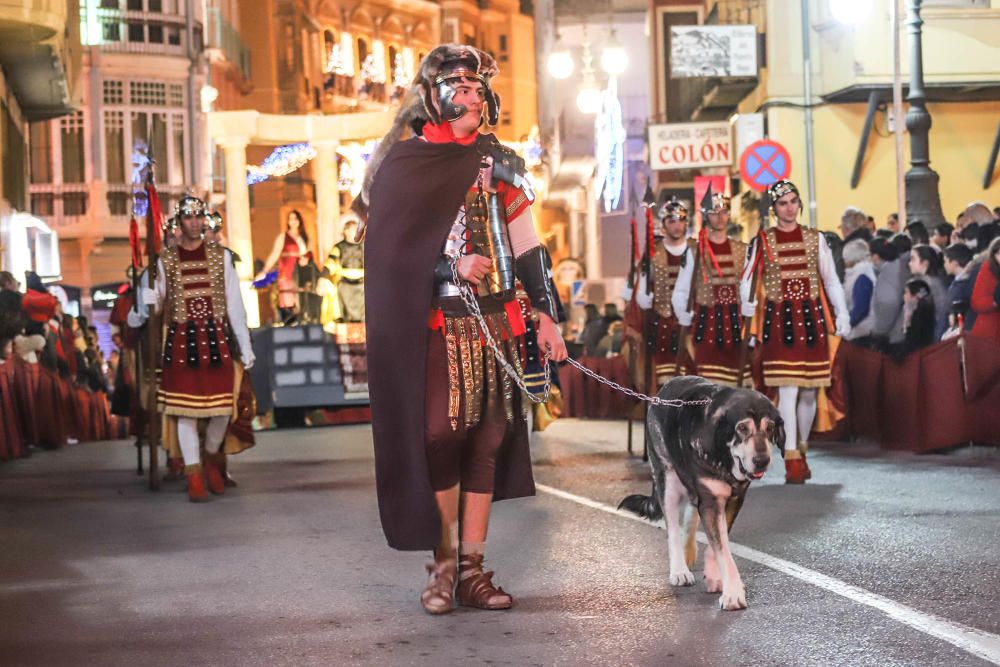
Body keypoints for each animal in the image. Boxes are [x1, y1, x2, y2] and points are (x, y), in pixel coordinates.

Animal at [620, 376, 784, 612]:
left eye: (770, 428)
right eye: (742, 428)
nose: (762, 460)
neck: (725, 456)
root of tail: (663, 388)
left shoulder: (733, 500)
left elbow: (718, 544)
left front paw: (716, 576)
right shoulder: (711, 501)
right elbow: (722, 549)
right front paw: (733, 594)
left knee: (690, 515)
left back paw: (689, 551)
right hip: (668, 480)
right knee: (673, 528)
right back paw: (679, 569)